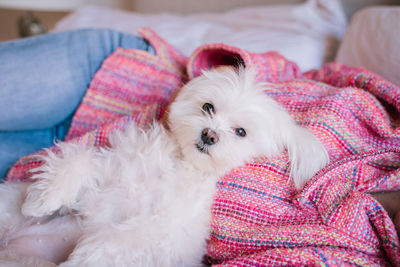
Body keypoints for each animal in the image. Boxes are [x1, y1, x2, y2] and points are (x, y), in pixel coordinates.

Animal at [0, 66, 328, 266]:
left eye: (240, 132)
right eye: (208, 107)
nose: (209, 135)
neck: (177, 166)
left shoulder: (160, 232)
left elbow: (114, 242)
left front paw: (83, 259)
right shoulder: (114, 169)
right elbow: (78, 162)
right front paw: (44, 198)